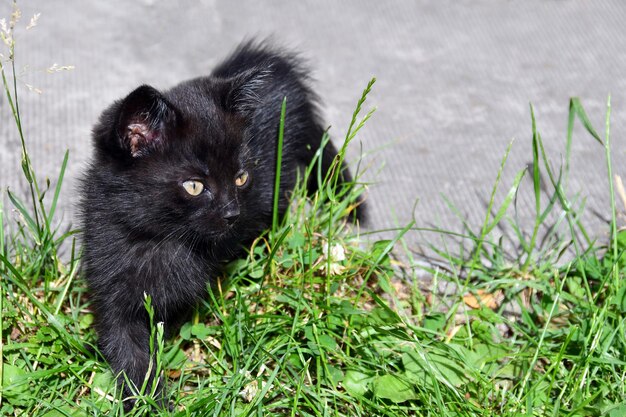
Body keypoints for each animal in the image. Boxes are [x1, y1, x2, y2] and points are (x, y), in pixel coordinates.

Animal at [80, 40, 360, 404]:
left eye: (241, 178)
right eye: (195, 186)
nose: (232, 214)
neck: (157, 239)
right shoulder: (108, 284)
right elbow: (126, 347)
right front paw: (144, 398)